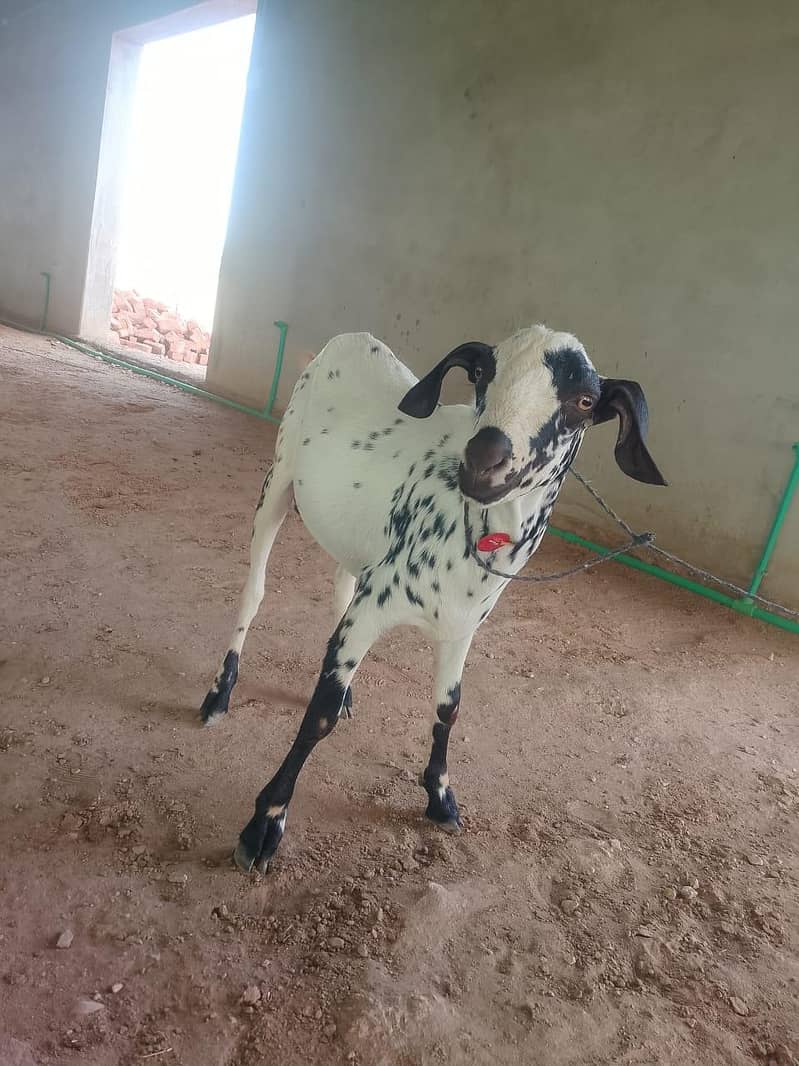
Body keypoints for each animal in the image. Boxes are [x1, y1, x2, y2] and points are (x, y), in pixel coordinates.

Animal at [200, 325, 665, 874]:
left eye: (585, 400)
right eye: (483, 372)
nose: (484, 457)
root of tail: (354, 336)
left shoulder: (463, 625)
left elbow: (449, 708)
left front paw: (440, 797)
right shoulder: (374, 606)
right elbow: (318, 715)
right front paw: (264, 826)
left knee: (339, 581)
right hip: (279, 476)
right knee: (254, 590)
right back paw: (220, 692)